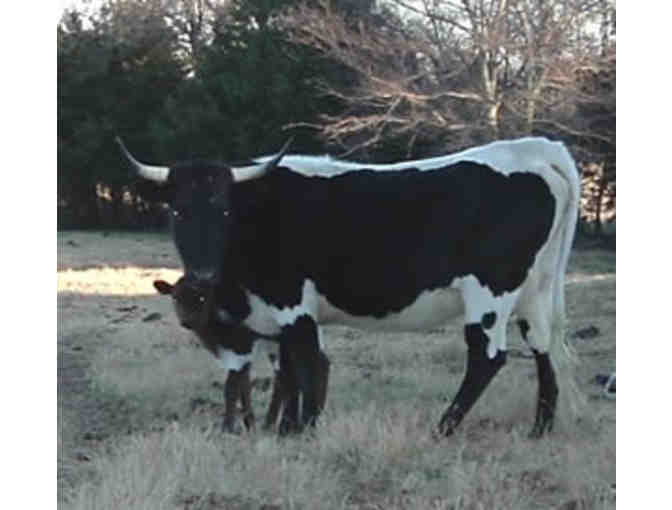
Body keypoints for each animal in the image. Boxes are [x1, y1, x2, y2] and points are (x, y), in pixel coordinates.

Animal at [118, 136, 580, 438]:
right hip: (534, 291)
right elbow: (289, 369)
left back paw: (442, 428)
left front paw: (302, 429)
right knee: (541, 347)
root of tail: (533, 148)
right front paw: (285, 428)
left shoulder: (293, 305)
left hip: (489, 294)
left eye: (225, 209)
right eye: (177, 210)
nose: (202, 273)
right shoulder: (277, 315)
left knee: (487, 357)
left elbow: (306, 365)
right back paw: (541, 428)